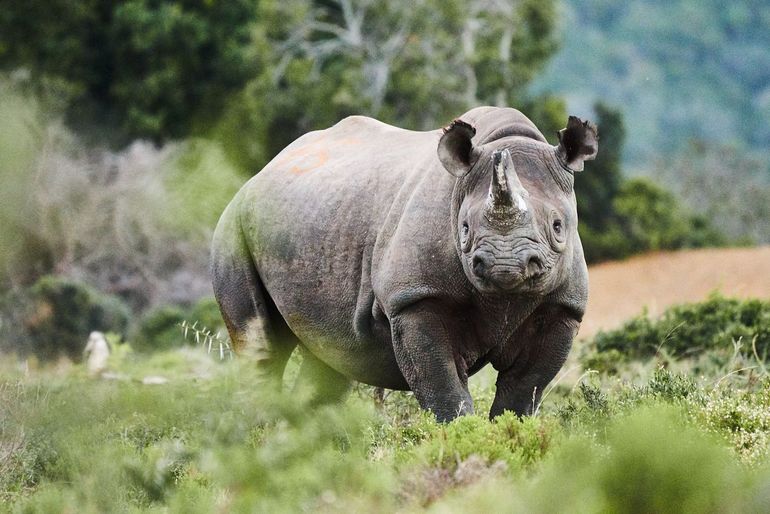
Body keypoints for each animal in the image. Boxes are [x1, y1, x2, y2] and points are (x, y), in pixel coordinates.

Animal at [213, 106, 596, 418]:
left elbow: (523, 392)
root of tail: (258, 174)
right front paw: (461, 435)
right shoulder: (415, 299)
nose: (505, 266)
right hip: (233, 225)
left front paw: (507, 432)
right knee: (260, 345)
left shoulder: (562, 308)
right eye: (465, 228)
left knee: (331, 355)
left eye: (558, 226)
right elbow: (443, 388)